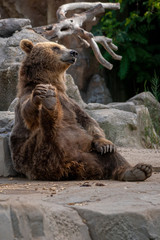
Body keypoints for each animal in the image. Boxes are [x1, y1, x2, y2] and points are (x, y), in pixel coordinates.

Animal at [10, 39, 152, 181]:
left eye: (63, 46)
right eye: (55, 47)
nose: (73, 52)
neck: (50, 82)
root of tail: (70, 163)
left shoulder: (70, 103)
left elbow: (88, 121)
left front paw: (104, 144)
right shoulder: (25, 97)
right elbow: (29, 115)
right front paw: (41, 94)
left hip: (90, 154)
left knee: (112, 155)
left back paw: (138, 170)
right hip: (32, 155)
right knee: (47, 133)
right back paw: (50, 103)